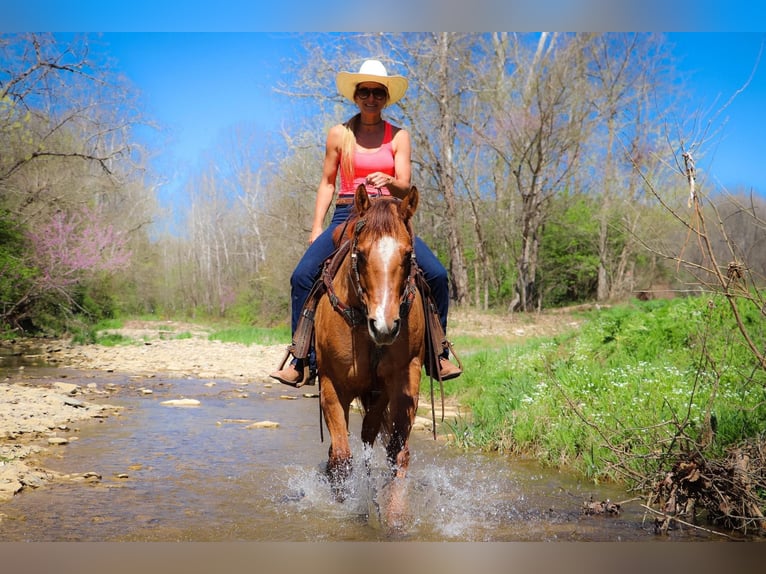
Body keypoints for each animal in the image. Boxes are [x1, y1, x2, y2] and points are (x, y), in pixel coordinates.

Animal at [316, 182, 428, 510]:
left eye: (408, 254)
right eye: (361, 254)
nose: (384, 326)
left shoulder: (403, 379)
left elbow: (397, 453)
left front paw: (394, 511)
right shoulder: (331, 384)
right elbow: (341, 457)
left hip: (377, 395)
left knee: (370, 435)